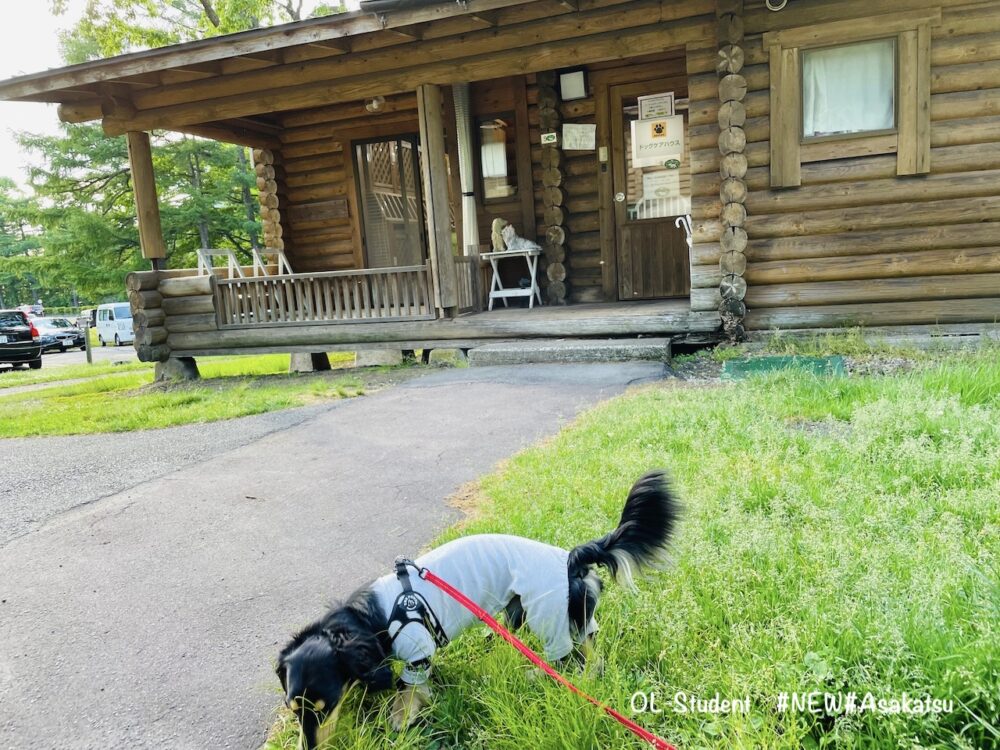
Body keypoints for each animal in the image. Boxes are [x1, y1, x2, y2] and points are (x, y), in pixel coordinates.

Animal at [276, 470, 680, 748]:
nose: (307, 748)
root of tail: (570, 557)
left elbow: (407, 690)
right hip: (531, 611)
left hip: (546, 613)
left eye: (322, 707)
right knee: (588, 644)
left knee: (572, 661)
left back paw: (538, 675)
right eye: (294, 710)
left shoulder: (417, 652)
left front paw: (400, 719)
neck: (367, 618)